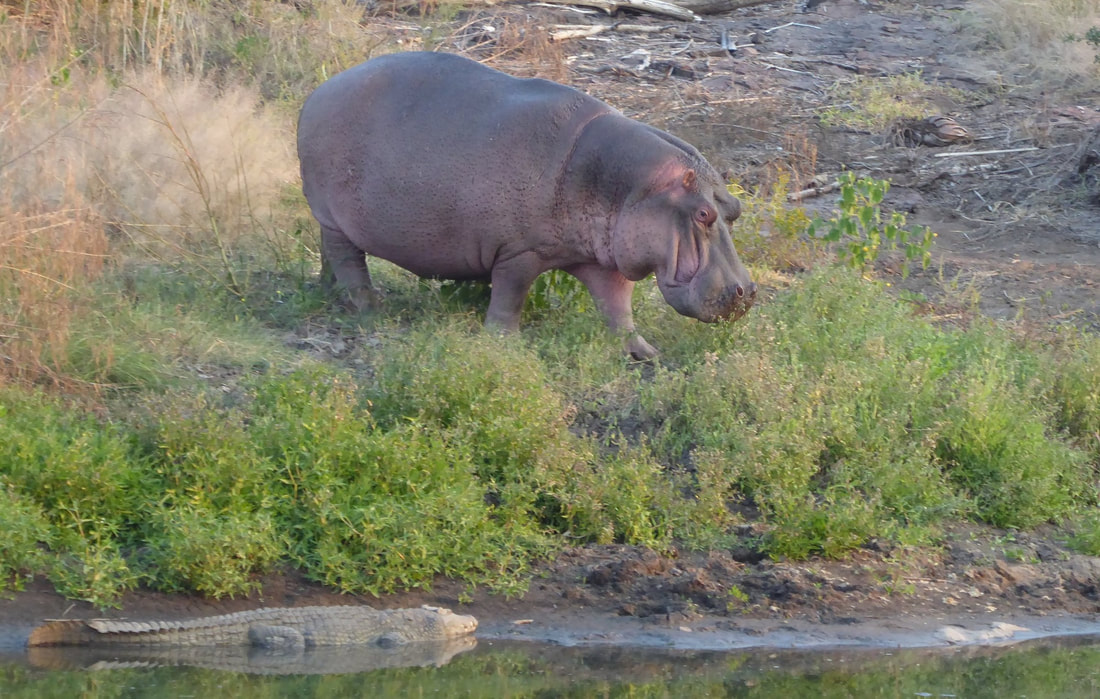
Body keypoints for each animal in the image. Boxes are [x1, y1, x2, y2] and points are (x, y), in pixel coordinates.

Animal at [297, 51, 755, 359]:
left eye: (734, 208)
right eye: (703, 214)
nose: (748, 292)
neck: (633, 186)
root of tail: (320, 90)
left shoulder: (605, 258)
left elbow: (618, 308)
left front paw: (644, 352)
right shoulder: (519, 252)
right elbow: (511, 297)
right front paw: (503, 343)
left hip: (329, 220)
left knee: (329, 255)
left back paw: (326, 291)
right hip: (334, 218)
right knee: (349, 261)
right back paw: (370, 306)